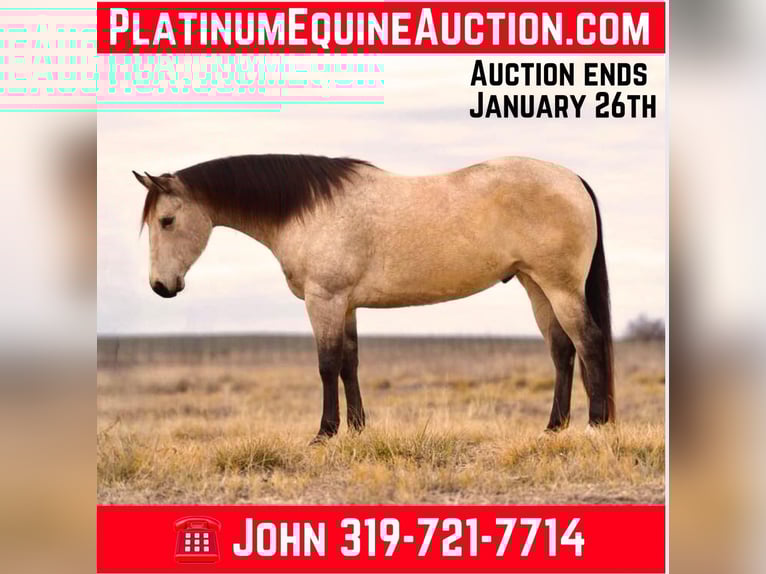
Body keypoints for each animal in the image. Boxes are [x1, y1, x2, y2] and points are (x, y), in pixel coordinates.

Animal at [133, 154, 615, 443]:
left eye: (167, 220)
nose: (161, 285)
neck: (308, 210)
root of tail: (572, 178)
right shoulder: (345, 304)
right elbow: (350, 362)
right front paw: (358, 428)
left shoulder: (324, 300)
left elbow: (327, 365)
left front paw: (325, 432)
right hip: (536, 285)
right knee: (562, 350)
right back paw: (553, 427)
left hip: (559, 287)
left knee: (588, 341)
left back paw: (596, 424)